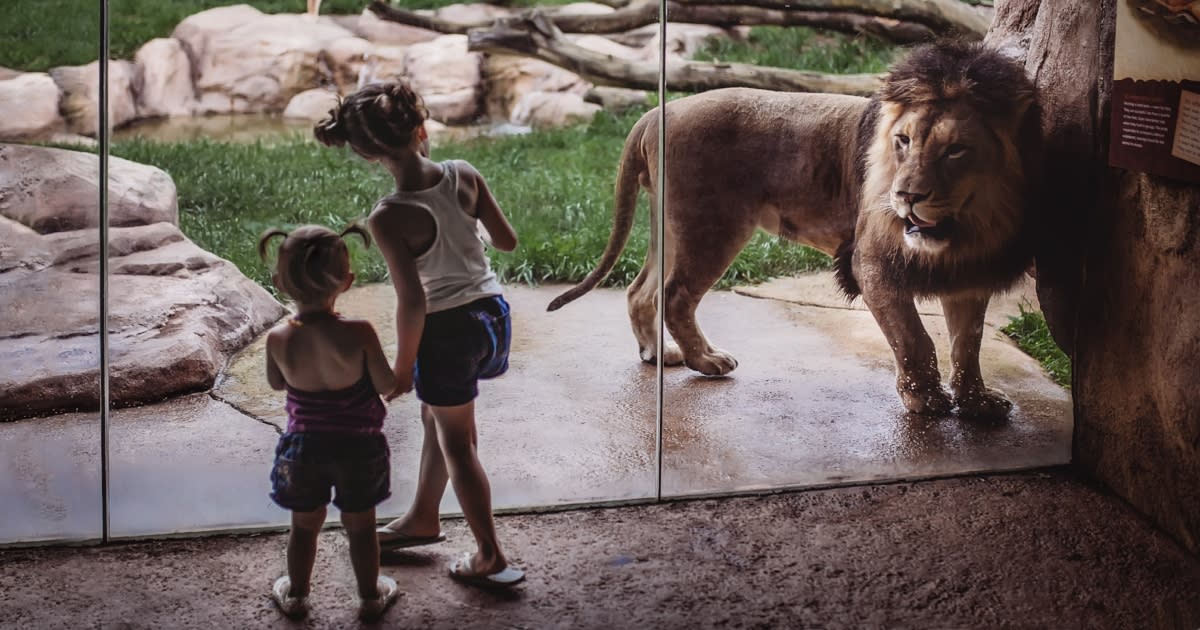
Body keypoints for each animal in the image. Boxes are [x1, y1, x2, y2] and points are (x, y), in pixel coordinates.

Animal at [547, 41, 1041, 420]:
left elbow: (968, 342)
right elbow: (914, 338)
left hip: (669, 225)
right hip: (712, 227)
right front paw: (926, 400)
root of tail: (656, 112)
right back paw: (704, 359)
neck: (963, 231)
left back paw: (658, 354)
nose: (905, 196)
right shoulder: (869, 264)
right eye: (902, 142)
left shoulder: (971, 276)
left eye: (955, 150)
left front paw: (977, 402)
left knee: (640, 290)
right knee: (674, 295)